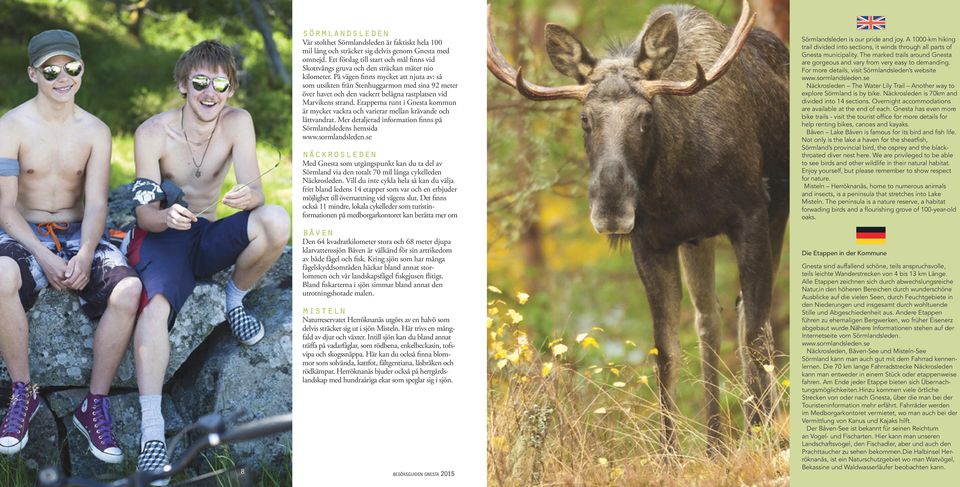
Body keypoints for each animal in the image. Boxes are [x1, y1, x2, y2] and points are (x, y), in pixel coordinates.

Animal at [488, 0, 788, 458]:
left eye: (646, 116)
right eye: (585, 118)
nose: (612, 205)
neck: (680, 183)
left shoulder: (752, 215)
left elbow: (755, 334)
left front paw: (760, 440)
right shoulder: (650, 243)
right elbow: (665, 351)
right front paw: (670, 455)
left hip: (775, 212)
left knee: (750, 321)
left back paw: (758, 427)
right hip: (696, 240)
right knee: (708, 321)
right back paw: (714, 443)